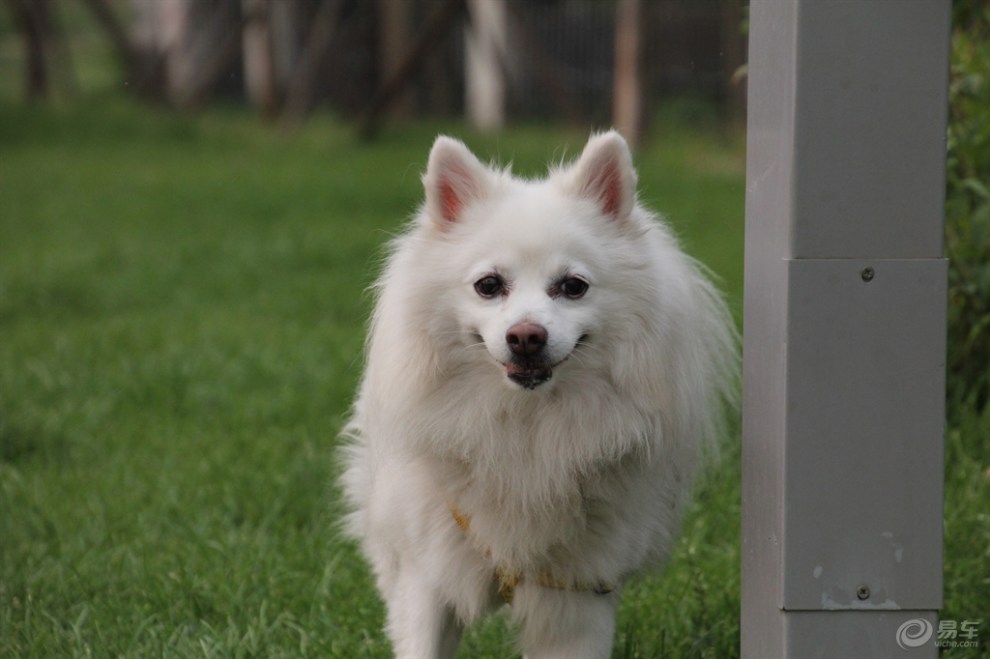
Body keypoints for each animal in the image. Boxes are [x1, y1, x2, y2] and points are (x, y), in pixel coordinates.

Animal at [340, 130, 736, 659]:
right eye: (488, 285)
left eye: (573, 287)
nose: (526, 336)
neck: (527, 428)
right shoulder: (428, 576)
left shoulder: (577, 589)